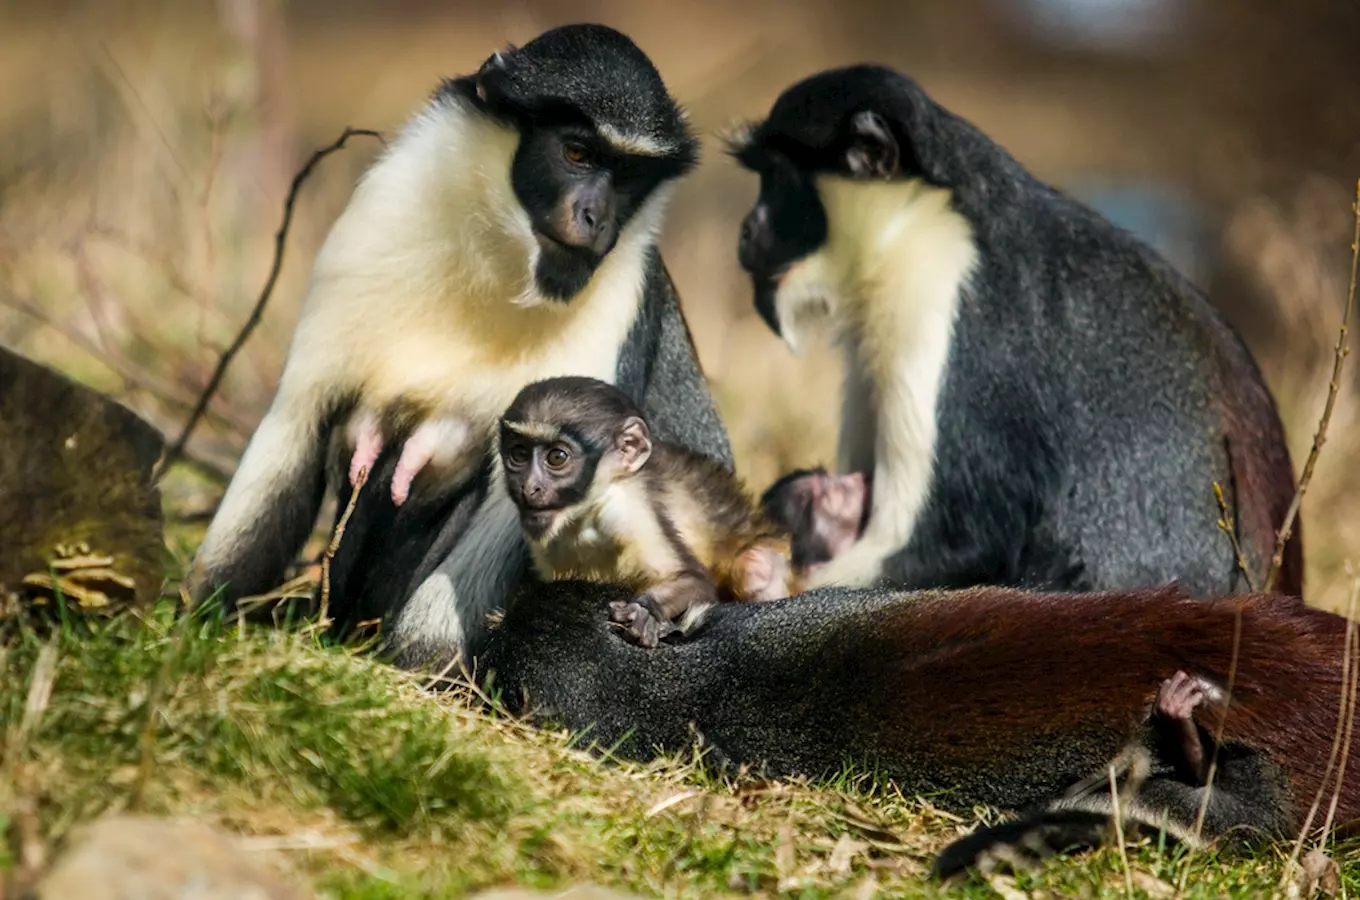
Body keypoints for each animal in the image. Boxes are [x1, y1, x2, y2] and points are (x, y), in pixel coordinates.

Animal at [189, 24, 734, 666]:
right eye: (579, 153)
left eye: (626, 177)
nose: (596, 217)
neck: (501, 266)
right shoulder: (381, 214)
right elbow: (297, 422)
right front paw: (192, 619)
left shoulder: (618, 304)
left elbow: (508, 509)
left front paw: (420, 668)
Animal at [497, 377, 794, 649]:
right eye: (519, 454)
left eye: (557, 457)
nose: (529, 488)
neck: (582, 519)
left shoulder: (627, 511)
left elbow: (692, 578)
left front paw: (645, 611)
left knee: (753, 569)